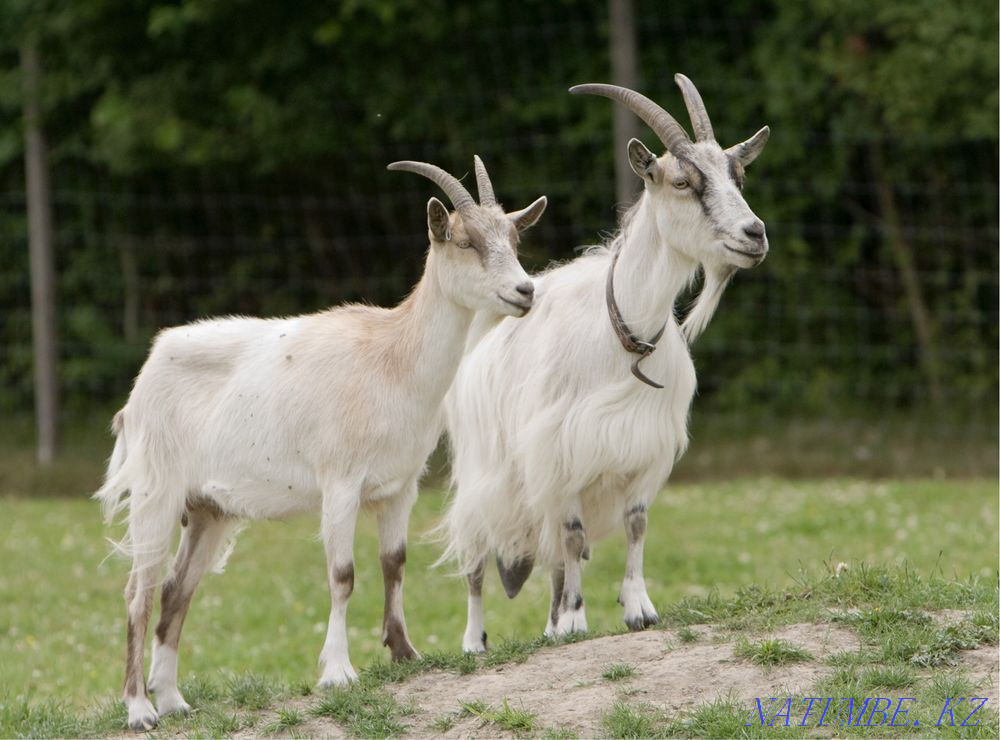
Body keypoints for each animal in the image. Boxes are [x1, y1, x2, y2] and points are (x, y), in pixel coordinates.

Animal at [95, 158, 547, 730]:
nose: (525, 291)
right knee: (139, 593)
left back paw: (174, 700)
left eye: (514, 236)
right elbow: (342, 574)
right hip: (156, 494)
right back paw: (139, 709)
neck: (392, 359)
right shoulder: (340, 484)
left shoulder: (400, 487)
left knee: (177, 591)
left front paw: (405, 652)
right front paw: (338, 672)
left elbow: (394, 563)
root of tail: (145, 377)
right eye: (465, 241)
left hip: (207, 511)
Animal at [441, 75, 770, 652]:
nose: (755, 234)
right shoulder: (559, 449)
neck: (623, 334)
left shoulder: (643, 444)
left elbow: (635, 525)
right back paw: (476, 641)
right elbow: (573, 536)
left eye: (740, 175)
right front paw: (576, 619)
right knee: (478, 557)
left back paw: (550, 625)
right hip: (484, 471)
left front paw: (637, 608)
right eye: (682, 181)